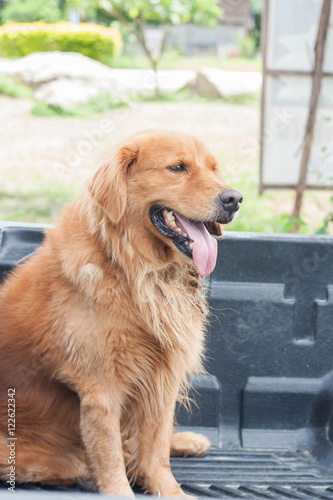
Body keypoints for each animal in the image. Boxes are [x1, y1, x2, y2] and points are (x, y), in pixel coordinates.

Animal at [0, 129, 240, 496]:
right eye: (178, 167)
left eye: (214, 169)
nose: (235, 199)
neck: (134, 268)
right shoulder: (102, 388)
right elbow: (111, 452)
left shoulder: (163, 377)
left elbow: (155, 448)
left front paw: (169, 489)